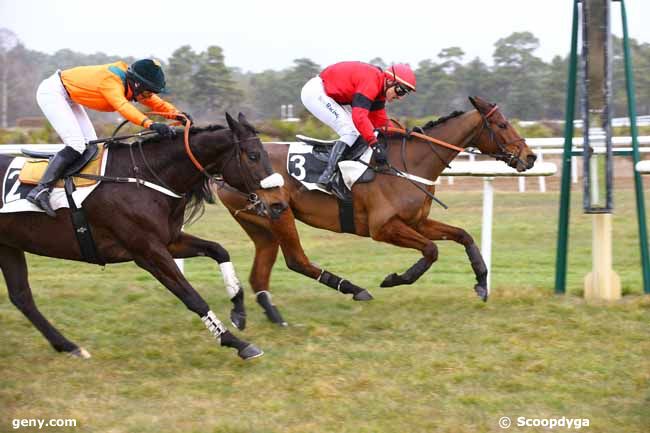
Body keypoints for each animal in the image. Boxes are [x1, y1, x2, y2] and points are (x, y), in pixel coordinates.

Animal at [0, 111, 284, 358]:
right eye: (253, 156)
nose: (279, 204)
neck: (143, 177)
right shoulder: (147, 252)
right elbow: (192, 297)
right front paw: (237, 343)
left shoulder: (169, 241)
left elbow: (218, 249)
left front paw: (238, 309)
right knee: (22, 297)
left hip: (9, 245)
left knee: (21, 297)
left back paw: (69, 347)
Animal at [218, 95, 536, 324]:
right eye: (502, 125)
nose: (530, 156)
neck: (408, 163)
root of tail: (225, 171)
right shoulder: (382, 227)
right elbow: (431, 250)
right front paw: (395, 279)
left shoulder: (417, 221)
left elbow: (463, 235)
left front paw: (482, 283)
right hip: (279, 214)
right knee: (297, 260)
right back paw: (354, 289)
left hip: (261, 224)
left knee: (261, 271)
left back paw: (272, 312)